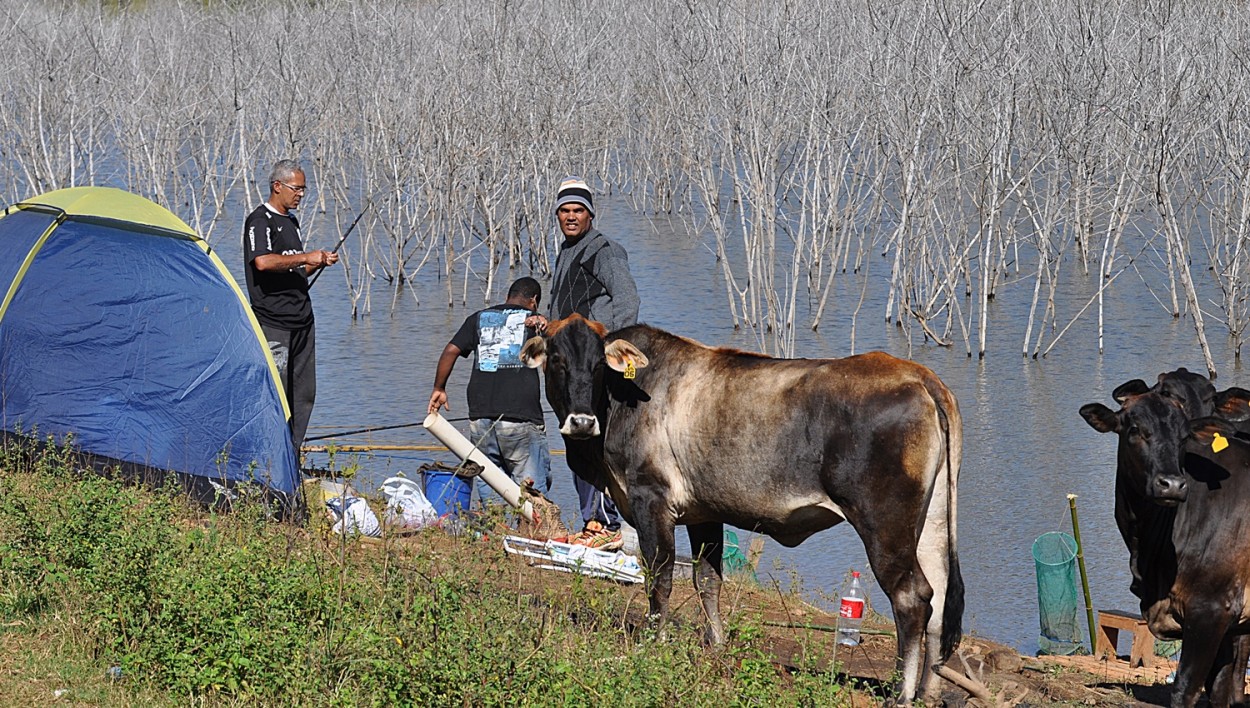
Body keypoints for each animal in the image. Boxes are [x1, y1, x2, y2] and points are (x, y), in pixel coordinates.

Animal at [520, 318, 965, 705]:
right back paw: (930, 692)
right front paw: (716, 647)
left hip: (884, 526)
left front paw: (654, 642)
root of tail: (918, 377)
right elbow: (707, 580)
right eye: (557, 359)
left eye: (598, 364)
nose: (581, 422)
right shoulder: (704, 514)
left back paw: (903, 694)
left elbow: (660, 578)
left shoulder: (651, 500)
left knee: (912, 598)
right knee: (941, 599)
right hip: (930, 525)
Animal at [1075, 382, 1250, 708]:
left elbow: (1185, 689)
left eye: (1184, 437)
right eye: (1135, 429)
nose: (1172, 484)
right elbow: (1218, 689)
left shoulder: (1211, 609)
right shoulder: (1227, 624)